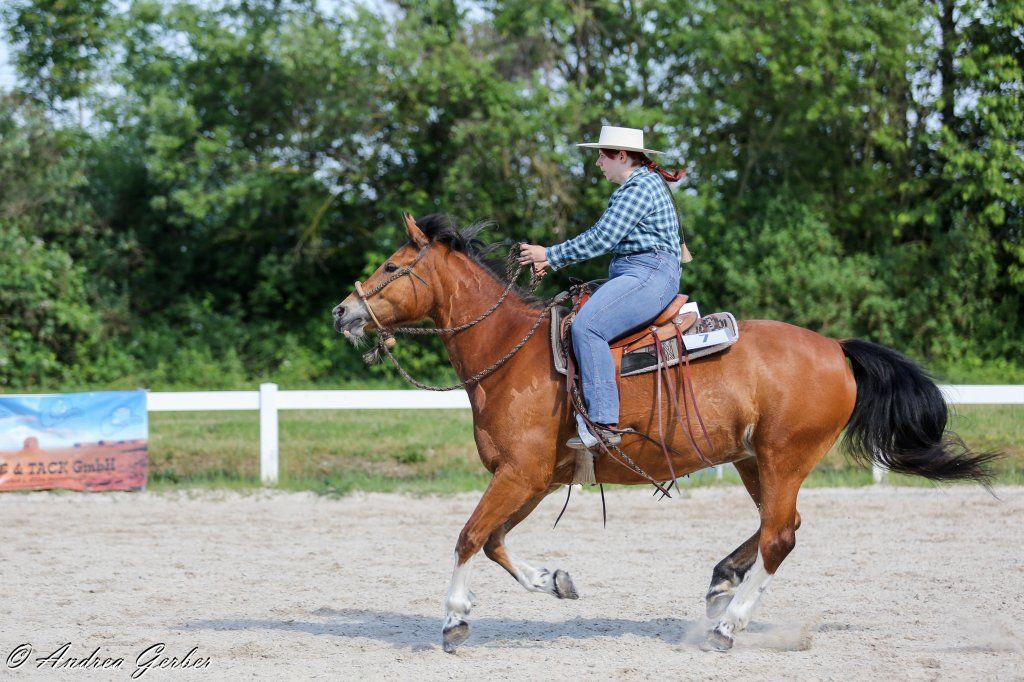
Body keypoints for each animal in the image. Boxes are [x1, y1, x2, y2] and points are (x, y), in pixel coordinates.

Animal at [331, 213, 995, 653]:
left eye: (392, 266)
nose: (344, 311)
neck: (510, 355)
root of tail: (836, 349)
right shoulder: (533, 480)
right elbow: (494, 541)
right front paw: (555, 581)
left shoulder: (519, 474)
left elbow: (468, 536)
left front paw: (453, 620)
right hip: (754, 460)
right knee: (778, 527)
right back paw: (723, 580)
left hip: (784, 457)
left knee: (780, 537)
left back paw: (728, 626)